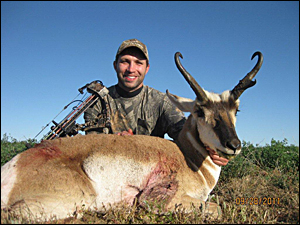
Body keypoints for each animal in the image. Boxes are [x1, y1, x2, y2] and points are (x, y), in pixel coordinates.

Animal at [0, 50, 262, 220]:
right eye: (199, 111)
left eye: (236, 110)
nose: (234, 144)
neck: (186, 156)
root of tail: (15, 165)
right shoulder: (159, 197)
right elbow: (217, 208)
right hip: (71, 201)